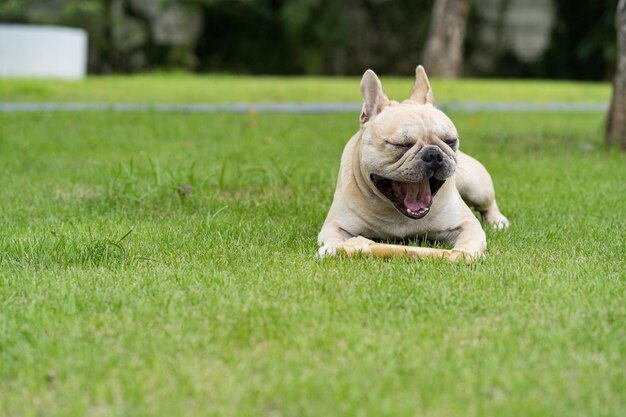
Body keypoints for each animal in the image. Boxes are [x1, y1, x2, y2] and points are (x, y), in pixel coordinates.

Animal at [316, 66, 508, 262]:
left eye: (450, 141)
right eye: (401, 144)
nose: (433, 154)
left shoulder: (467, 224)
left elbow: (470, 239)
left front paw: (463, 254)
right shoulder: (335, 225)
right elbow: (334, 236)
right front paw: (332, 249)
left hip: (476, 187)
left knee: (488, 204)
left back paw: (497, 221)